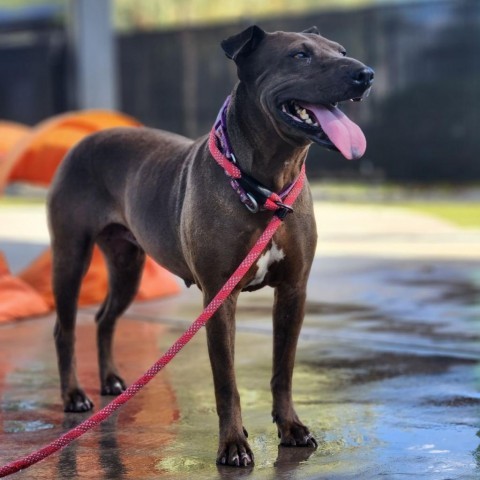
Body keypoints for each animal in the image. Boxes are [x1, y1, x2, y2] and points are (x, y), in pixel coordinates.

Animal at [47, 24, 374, 466]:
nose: (366, 74)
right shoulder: (220, 298)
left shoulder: (293, 292)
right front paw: (233, 444)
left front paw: (291, 427)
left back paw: (111, 381)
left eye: (341, 51)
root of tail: (84, 141)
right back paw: (73, 395)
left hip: (127, 266)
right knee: (64, 329)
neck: (266, 185)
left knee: (104, 319)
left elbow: (283, 370)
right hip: (70, 257)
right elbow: (226, 382)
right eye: (300, 55)